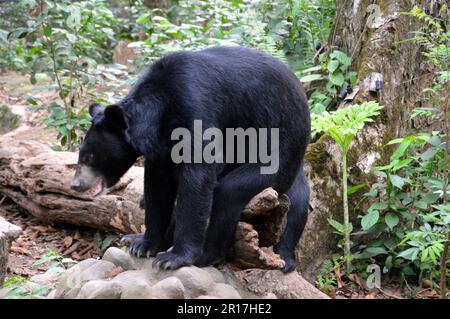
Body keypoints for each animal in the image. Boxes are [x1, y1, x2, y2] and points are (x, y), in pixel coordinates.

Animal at [71, 47, 310, 272]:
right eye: (81, 154)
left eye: (89, 156)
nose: (75, 184)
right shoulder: (160, 148)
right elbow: (158, 188)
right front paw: (145, 245)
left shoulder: (195, 108)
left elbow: (198, 177)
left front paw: (173, 258)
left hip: (279, 145)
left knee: (230, 193)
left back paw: (207, 255)